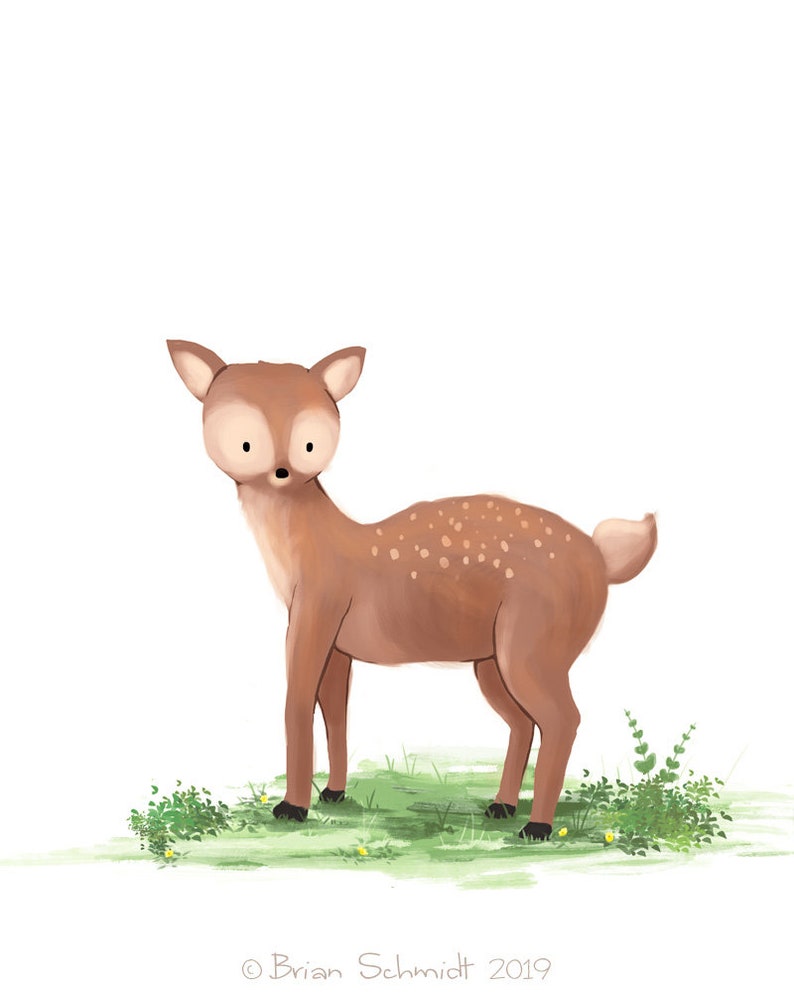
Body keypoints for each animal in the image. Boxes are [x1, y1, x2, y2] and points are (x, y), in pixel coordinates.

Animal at [167, 341, 657, 840]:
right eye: (245, 441)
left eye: (310, 443)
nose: (283, 470)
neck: (308, 555)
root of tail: (601, 557)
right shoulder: (338, 646)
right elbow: (336, 713)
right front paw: (333, 793)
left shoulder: (314, 616)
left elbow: (295, 707)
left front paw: (292, 807)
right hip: (493, 660)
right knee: (524, 723)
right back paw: (502, 806)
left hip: (532, 647)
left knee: (563, 719)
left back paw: (537, 826)